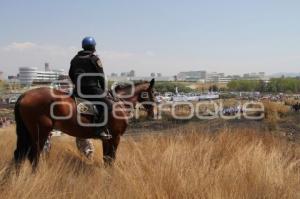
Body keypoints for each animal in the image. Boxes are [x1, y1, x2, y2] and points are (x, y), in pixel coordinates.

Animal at [13, 78, 156, 169]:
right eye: (153, 93)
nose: (153, 114)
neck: (119, 103)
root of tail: (24, 95)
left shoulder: (107, 139)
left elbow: (106, 159)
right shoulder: (115, 137)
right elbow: (111, 158)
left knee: (20, 155)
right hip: (40, 133)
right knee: (33, 156)